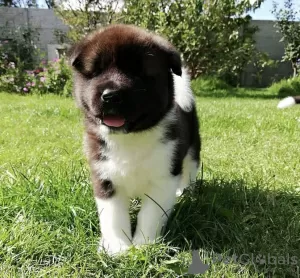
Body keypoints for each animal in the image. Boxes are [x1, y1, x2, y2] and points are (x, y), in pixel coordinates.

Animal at [69, 25, 202, 255]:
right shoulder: (104, 177)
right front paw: (117, 247)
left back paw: (185, 191)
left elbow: (150, 215)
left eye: (138, 72)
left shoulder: (163, 178)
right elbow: (113, 217)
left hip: (193, 147)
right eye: (96, 71)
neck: (130, 138)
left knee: (190, 170)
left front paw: (144, 244)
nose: (111, 96)